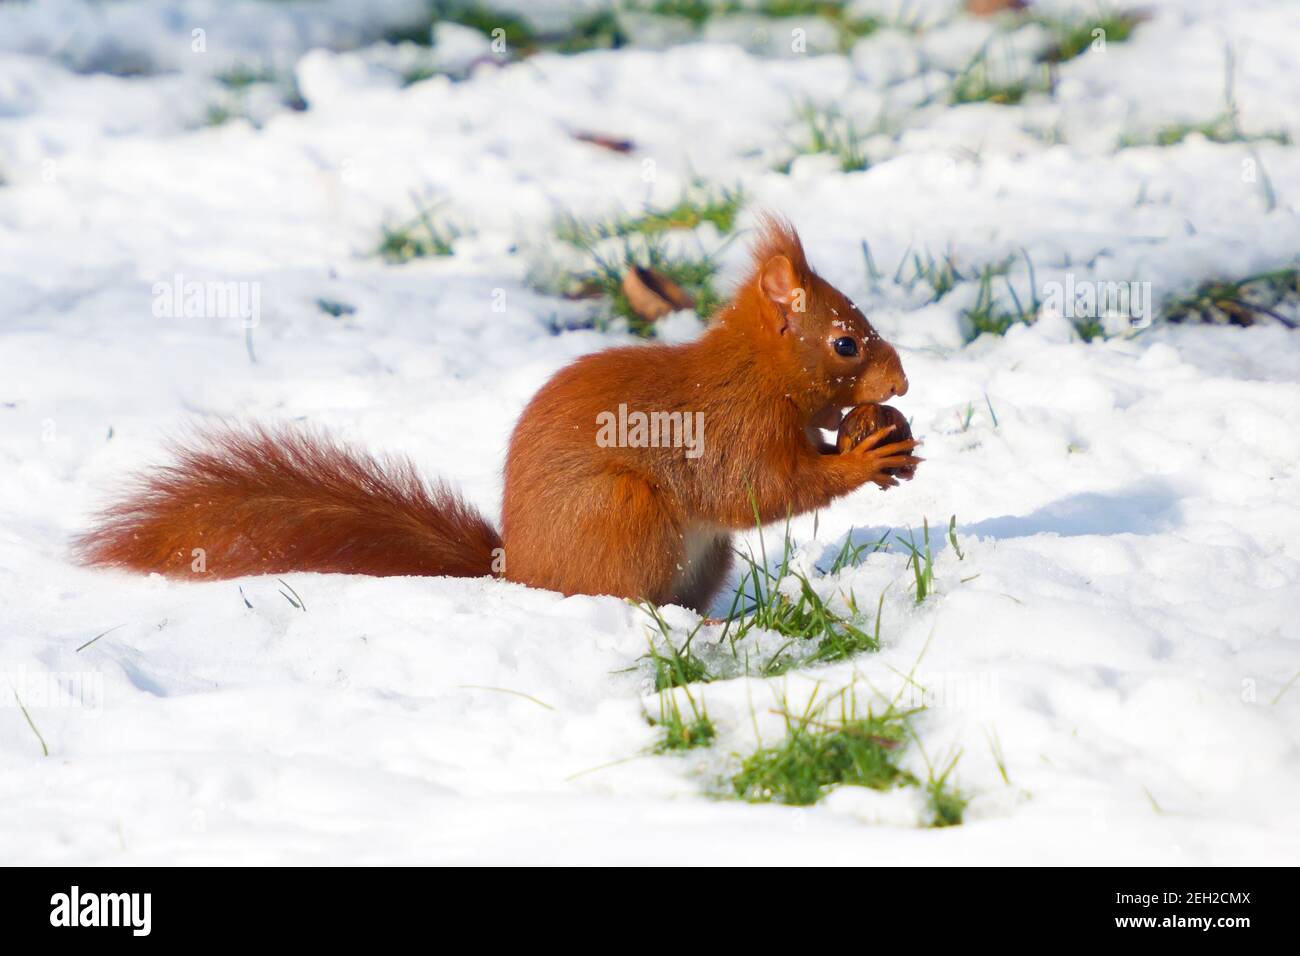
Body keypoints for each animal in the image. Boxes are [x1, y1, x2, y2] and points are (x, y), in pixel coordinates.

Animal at [78, 218, 915, 613]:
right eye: (845, 341)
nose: (902, 381)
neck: (756, 371)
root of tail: (517, 571)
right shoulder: (727, 429)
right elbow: (757, 489)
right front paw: (860, 457)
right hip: (622, 513)